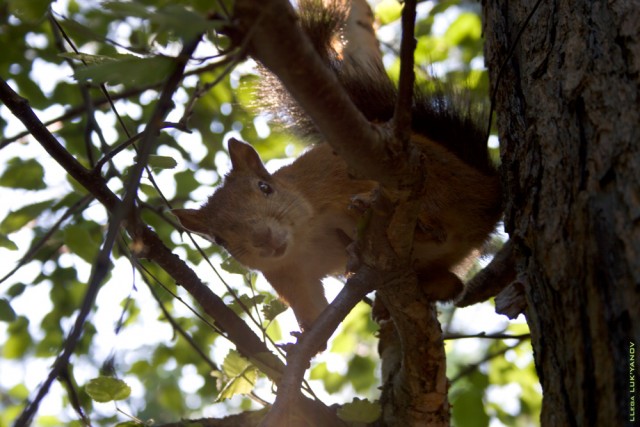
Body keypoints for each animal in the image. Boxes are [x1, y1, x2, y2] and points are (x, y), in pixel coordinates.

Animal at [172, 0, 502, 332]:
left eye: (265, 187)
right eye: (219, 239)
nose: (263, 239)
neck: (304, 238)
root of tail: (488, 192)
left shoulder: (332, 178)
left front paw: (362, 215)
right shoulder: (289, 274)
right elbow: (309, 306)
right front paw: (304, 335)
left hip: (437, 179)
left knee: (436, 222)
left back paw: (411, 226)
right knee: (453, 284)